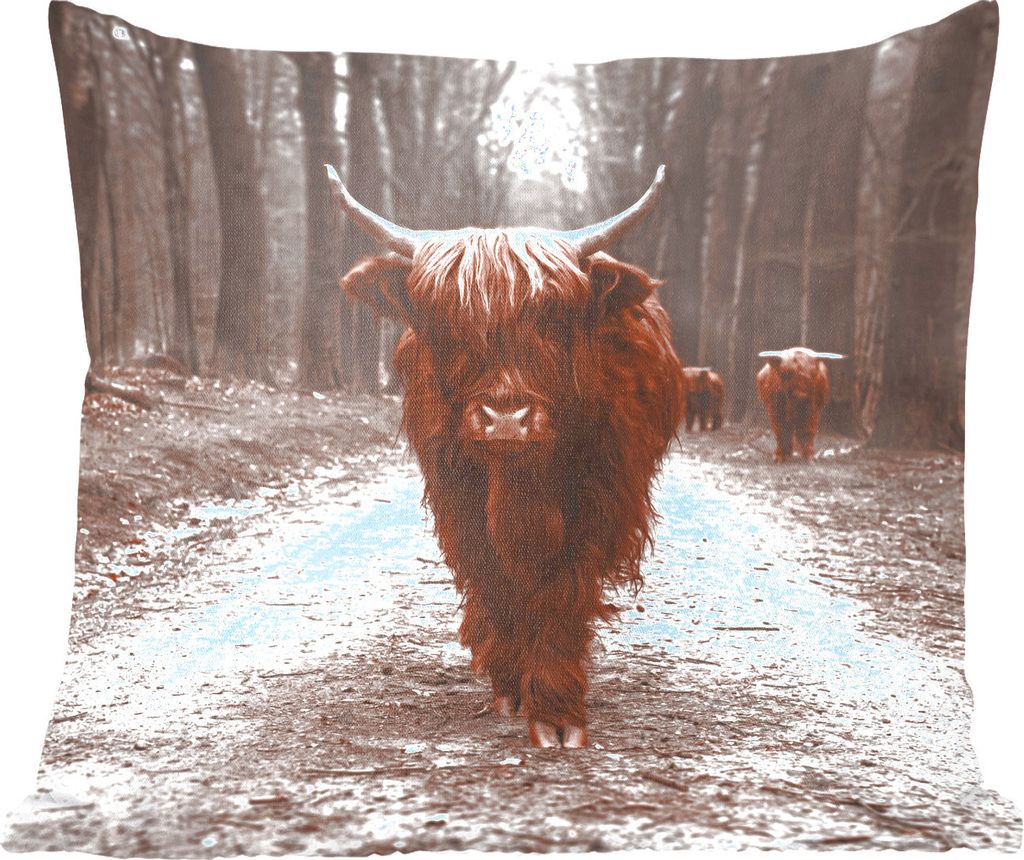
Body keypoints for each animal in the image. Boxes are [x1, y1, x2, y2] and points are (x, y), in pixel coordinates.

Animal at [326, 163, 684, 748]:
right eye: (447, 321)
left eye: (554, 318)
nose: (507, 419)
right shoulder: (458, 500)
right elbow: (493, 580)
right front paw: (512, 685)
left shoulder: (597, 502)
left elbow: (560, 590)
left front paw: (556, 712)